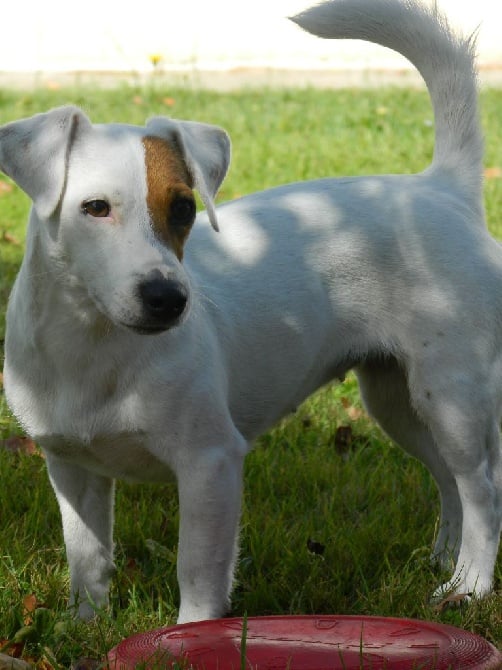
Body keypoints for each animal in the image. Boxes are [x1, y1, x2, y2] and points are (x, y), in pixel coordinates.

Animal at [0, 0, 496, 624]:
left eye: (183, 208)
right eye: (94, 208)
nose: (169, 298)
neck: (93, 344)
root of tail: (444, 188)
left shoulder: (210, 462)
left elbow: (198, 573)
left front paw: (189, 635)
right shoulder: (71, 467)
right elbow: (86, 561)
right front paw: (85, 627)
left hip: (452, 393)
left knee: (481, 489)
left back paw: (470, 585)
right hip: (397, 399)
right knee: (450, 480)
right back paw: (445, 563)